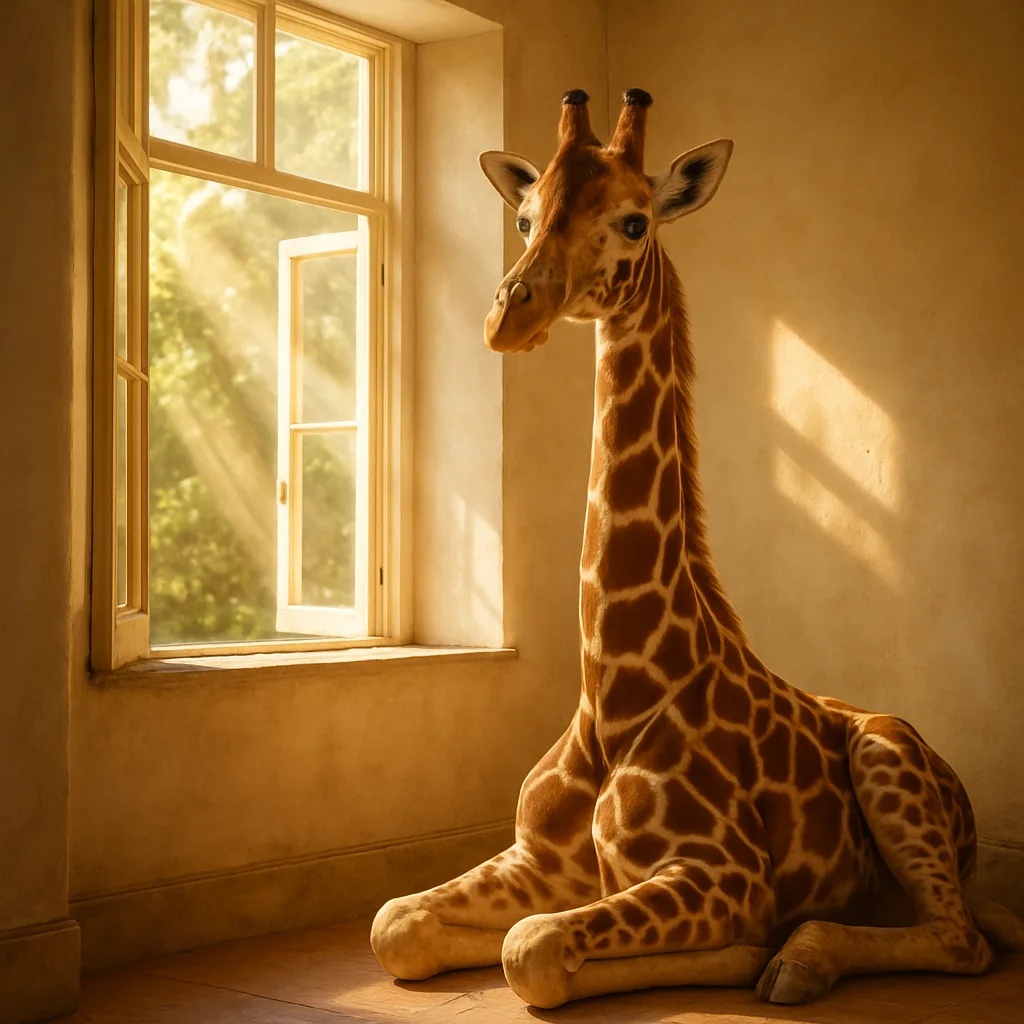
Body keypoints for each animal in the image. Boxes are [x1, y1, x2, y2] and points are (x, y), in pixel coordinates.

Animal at [370, 88, 1024, 1009]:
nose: (510, 315)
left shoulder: (722, 873)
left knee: (966, 938)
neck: (615, 692)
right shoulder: (540, 859)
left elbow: (531, 948)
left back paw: (801, 955)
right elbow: (397, 923)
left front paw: (753, 949)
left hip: (885, 760)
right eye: (526, 216)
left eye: (634, 221)